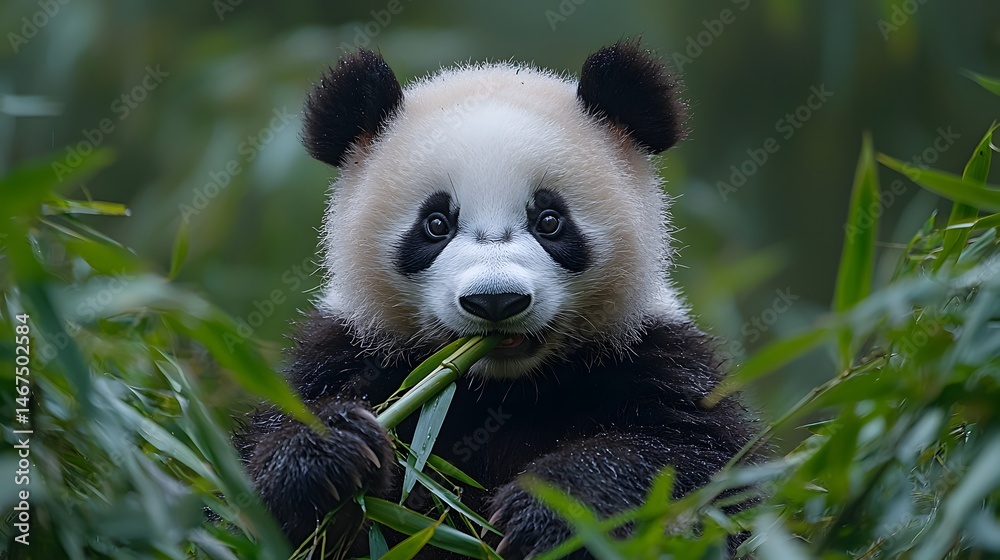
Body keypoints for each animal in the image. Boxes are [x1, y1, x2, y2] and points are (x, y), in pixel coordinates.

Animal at [237, 41, 758, 559]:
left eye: (549, 220)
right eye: (436, 224)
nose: (496, 301)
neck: (500, 387)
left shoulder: (652, 355)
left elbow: (700, 468)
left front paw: (550, 510)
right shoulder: (346, 354)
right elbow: (244, 496)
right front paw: (328, 450)